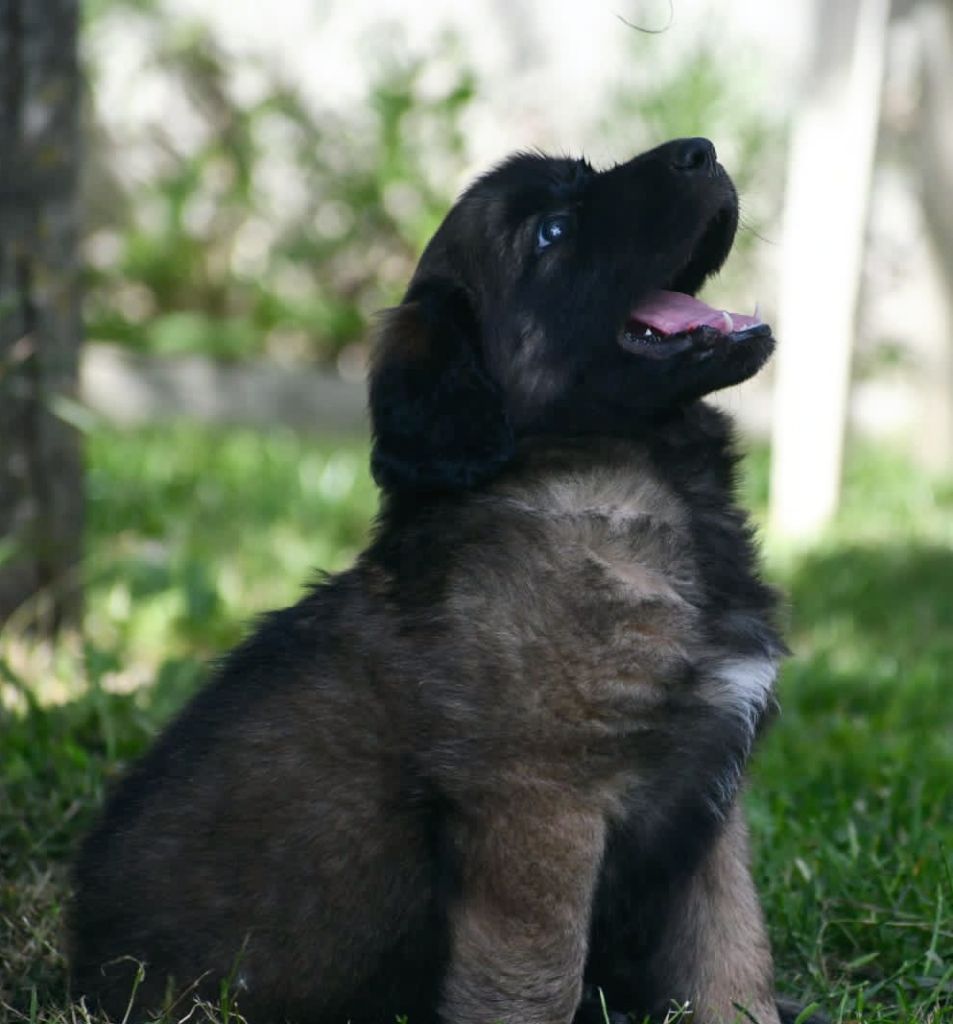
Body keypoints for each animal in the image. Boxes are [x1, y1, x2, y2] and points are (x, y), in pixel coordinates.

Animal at [70, 138, 810, 1024]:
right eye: (550, 231)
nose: (699, 150)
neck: (615, 473)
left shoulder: (710, 807)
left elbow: (731, 956)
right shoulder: (539, 804)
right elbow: (537, 979)